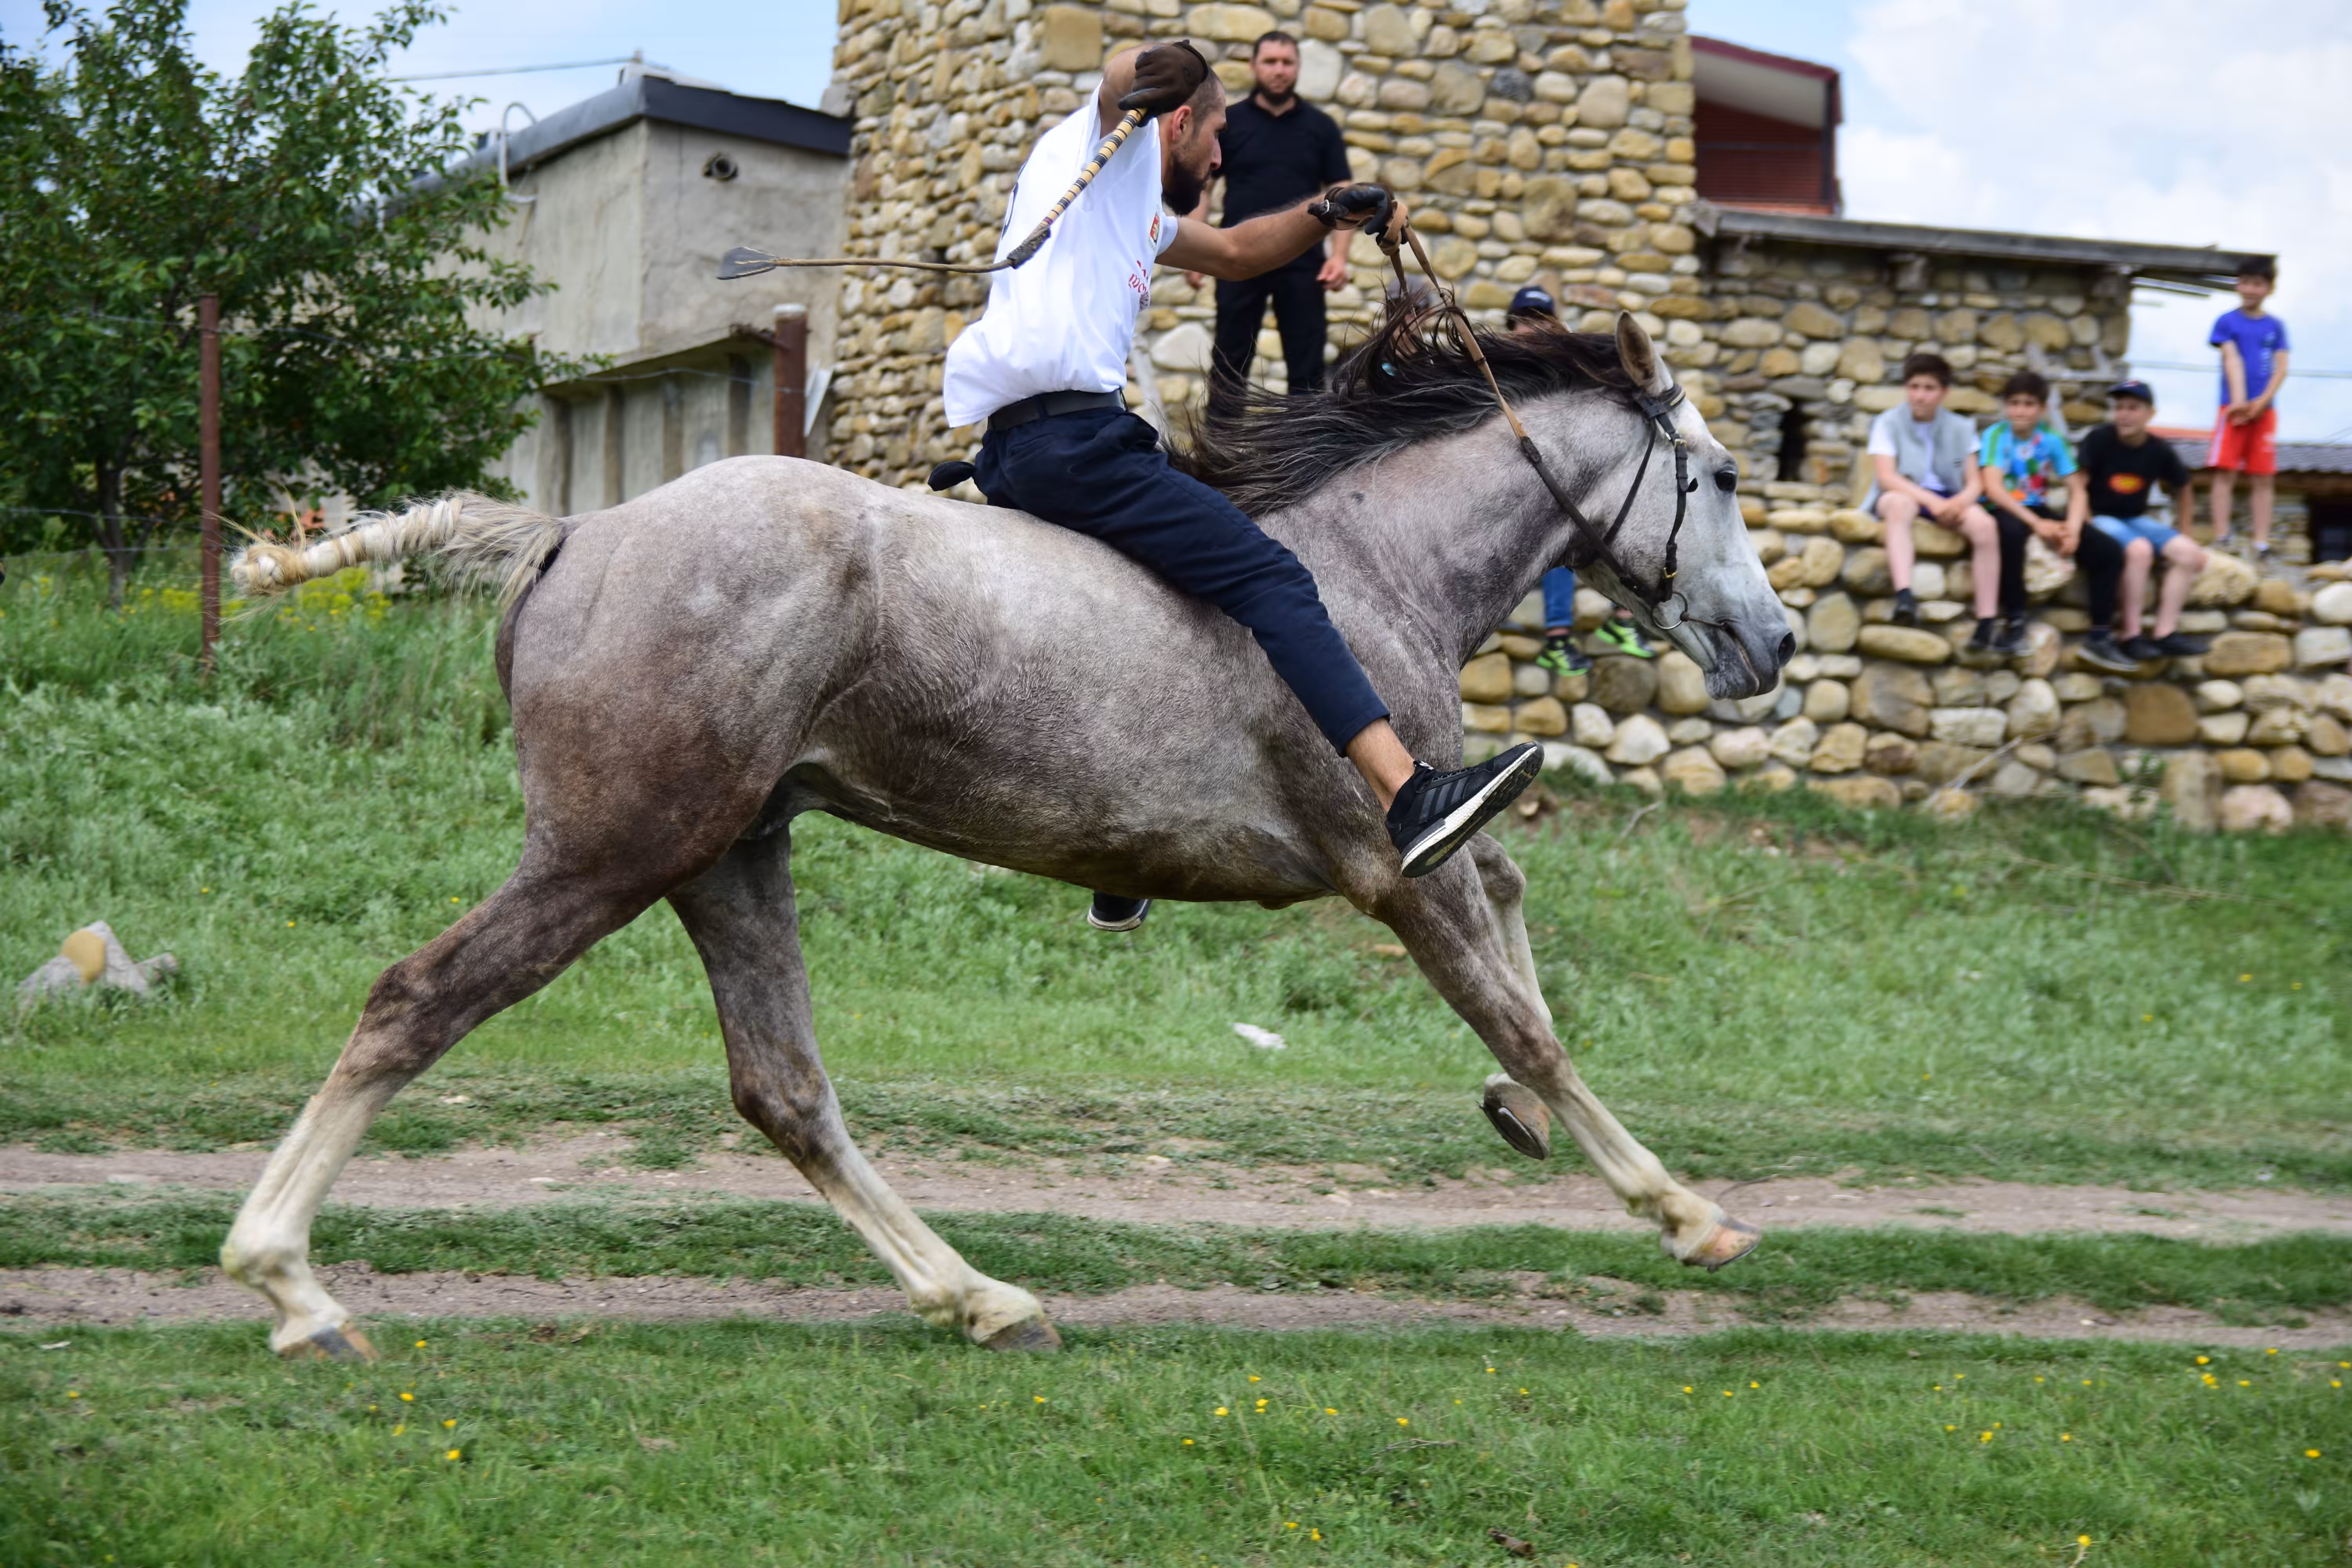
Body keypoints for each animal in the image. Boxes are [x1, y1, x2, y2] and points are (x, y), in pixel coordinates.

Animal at [220, 309, 1793, 1359]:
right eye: (1718, 477)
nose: (1774, 642)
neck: (1372, 570)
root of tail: (567, 535)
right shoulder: (1389, 866)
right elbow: (1526, 1015)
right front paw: (1683, 1209)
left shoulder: (1441, 848)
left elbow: (1518, 930)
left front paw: (1520, 1118)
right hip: (614, 850)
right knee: (417, 998)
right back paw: (292, 1288)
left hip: (726, 854)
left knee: (783, 1089)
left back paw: (978, 1296)